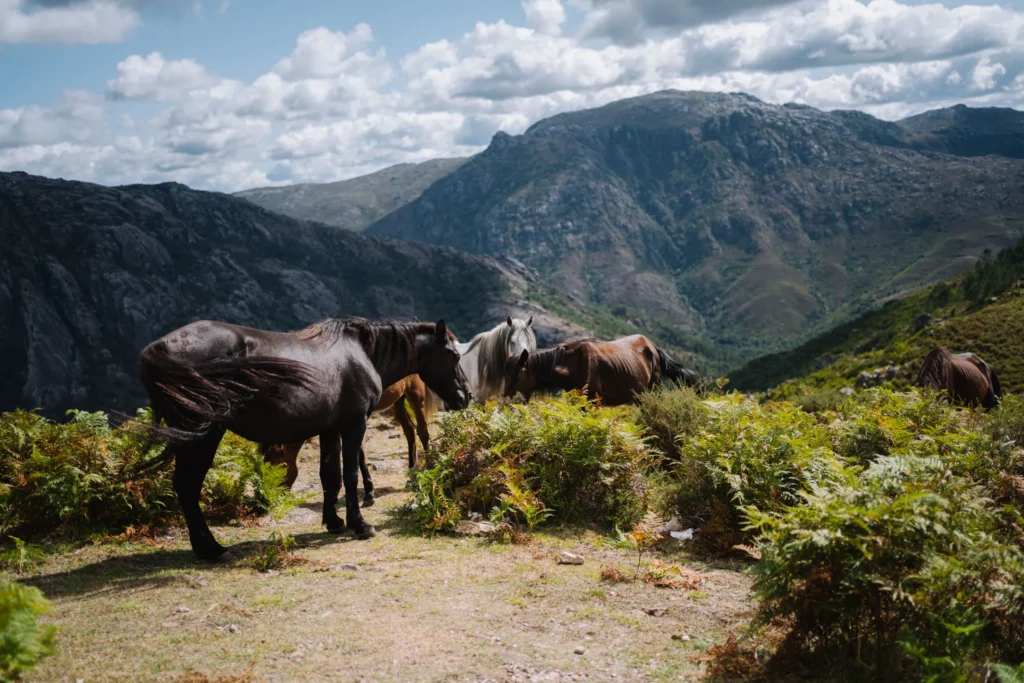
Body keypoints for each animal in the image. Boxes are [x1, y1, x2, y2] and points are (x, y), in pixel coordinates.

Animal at [258, 373, 442, 504]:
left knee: (423, 431)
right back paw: (411, 474)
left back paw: (428, 468)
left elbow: (358, 455)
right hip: (397, 400)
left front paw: (368, 493)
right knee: (409, 431)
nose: (267, 499)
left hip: (415, 395)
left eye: (273, 466)